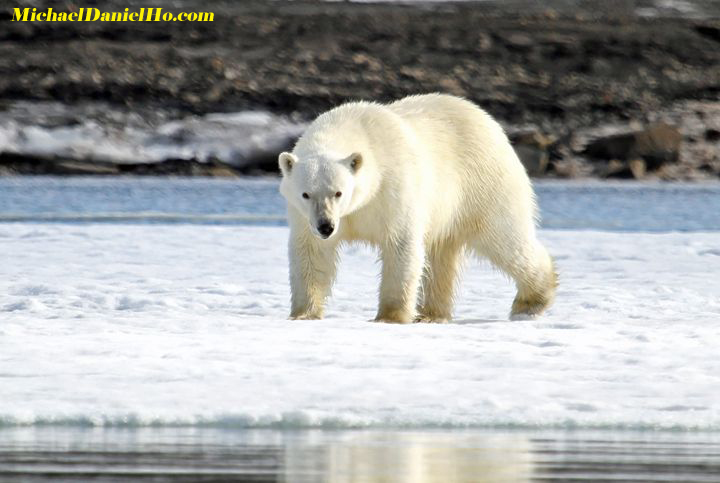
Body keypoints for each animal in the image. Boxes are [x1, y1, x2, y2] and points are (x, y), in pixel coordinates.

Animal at [280, 92, 556, 324]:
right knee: (440, 256)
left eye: (338, 192)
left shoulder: (393, 191)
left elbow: (401, 245)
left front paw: (390, 317)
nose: (326, 226)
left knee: (505, 239)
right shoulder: (305, 217)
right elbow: (311, 252)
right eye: (306, 194)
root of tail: (490, 122)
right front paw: (303, 314)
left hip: (484, 184)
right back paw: (432, 314)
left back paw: (531, 302)